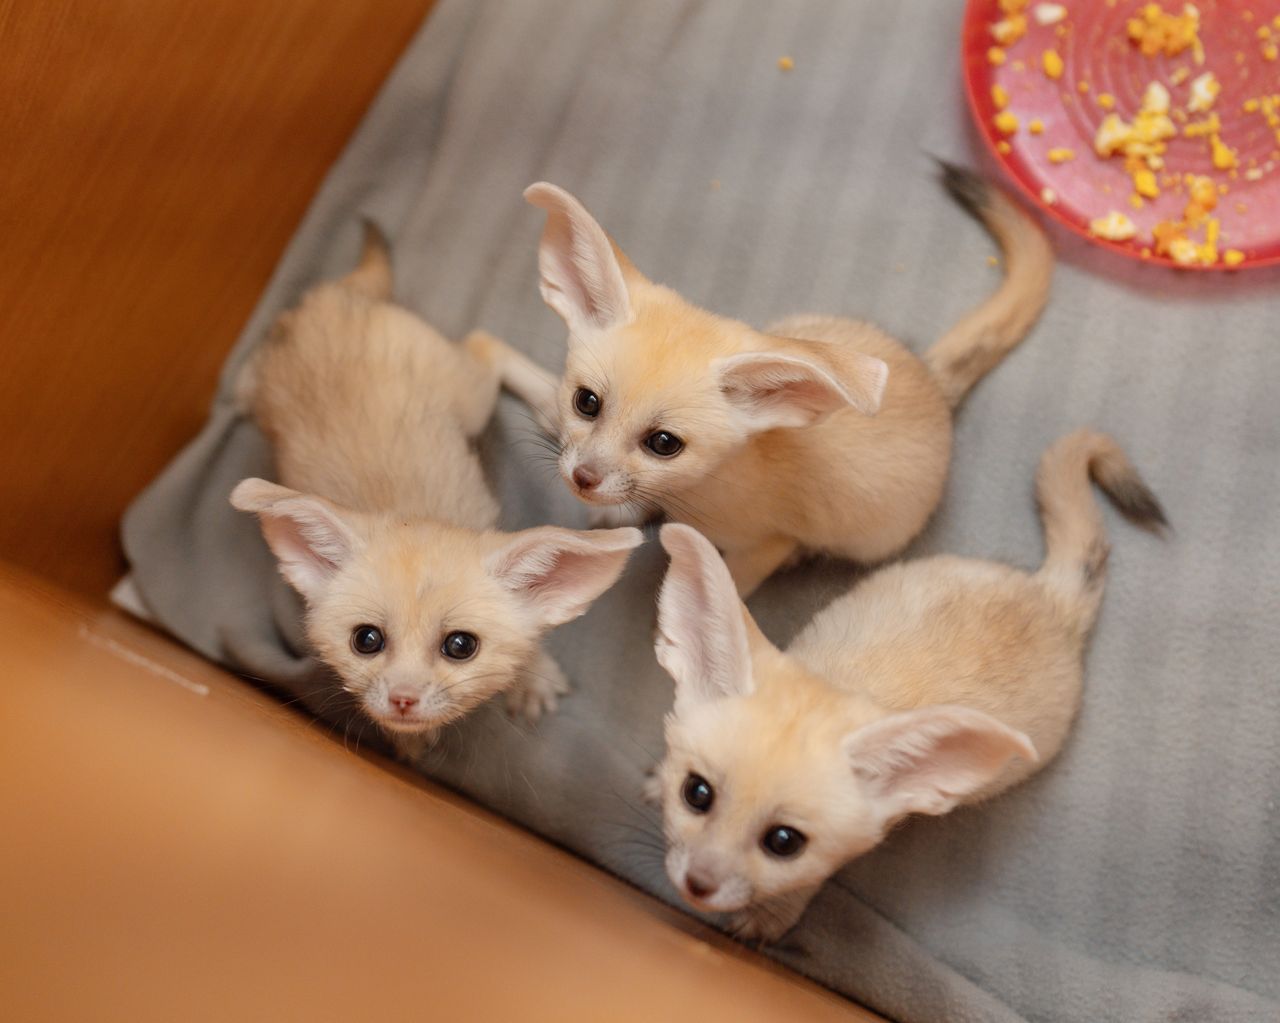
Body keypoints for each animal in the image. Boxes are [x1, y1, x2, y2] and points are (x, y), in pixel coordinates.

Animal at [231, 225, 641, 760]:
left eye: (460, 646)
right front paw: (407, 740)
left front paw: (531, 677)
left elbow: (531, 638)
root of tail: (330, 303)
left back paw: (550, 403)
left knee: (484, 342)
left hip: (470, 398)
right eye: (366, 640)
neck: (411, 511)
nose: (403, 701)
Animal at [478, 163, 1053, 596]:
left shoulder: (768, 542)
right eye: (587, 402)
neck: (701, 492)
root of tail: (929, 373)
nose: (583, 479)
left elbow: (730, 588)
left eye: (664, 443)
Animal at [647, 430, 1165, 941]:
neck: (845, 680)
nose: (697, 885)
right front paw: (656, 781)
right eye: (696, 794)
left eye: (784, 842)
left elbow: (817, 876)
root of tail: (1048, 597)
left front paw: (776, 912)